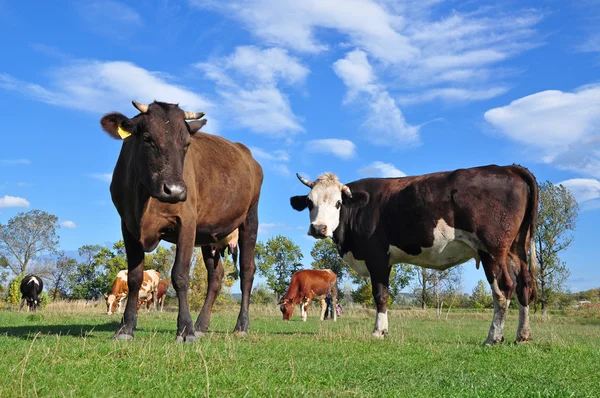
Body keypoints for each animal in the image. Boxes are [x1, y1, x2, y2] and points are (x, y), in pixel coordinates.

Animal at [101, 100, 262, 342]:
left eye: (186, 144)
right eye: (147, 138)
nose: (175, 190)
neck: (144, 199)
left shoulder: (186, 222)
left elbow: (180, 275)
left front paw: (185, 330)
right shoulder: (127, 225)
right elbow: (134, 277)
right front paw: (126, 327)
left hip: (250, 218)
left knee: (247, 271)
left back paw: (241, 325)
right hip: (209, 237)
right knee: (216, 276)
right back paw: (201, 325)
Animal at [290, 165, 540, 346]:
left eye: (338, 203)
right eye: (310, 202)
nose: (319, 228)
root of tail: (508, 168)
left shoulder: (377, 257)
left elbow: (381, 295)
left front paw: (379, 331)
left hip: (492, 250)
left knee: (504, 289)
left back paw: (493, 337)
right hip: (516, 248)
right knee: (524, 285)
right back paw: (523, 335)